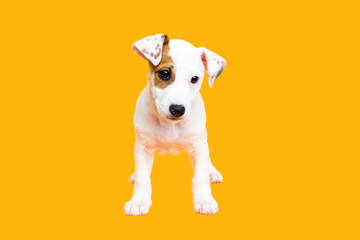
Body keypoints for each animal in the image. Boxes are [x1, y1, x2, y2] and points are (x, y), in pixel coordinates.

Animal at [125, 34, 226, 216]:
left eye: (195, 79)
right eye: (164, 73)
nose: (178, 110)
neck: (168, 126)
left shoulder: (198, 146)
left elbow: (200, 178)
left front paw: (204, 201)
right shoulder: (143, 147)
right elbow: (143, 178)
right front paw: (138, 201)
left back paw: (212, 172)